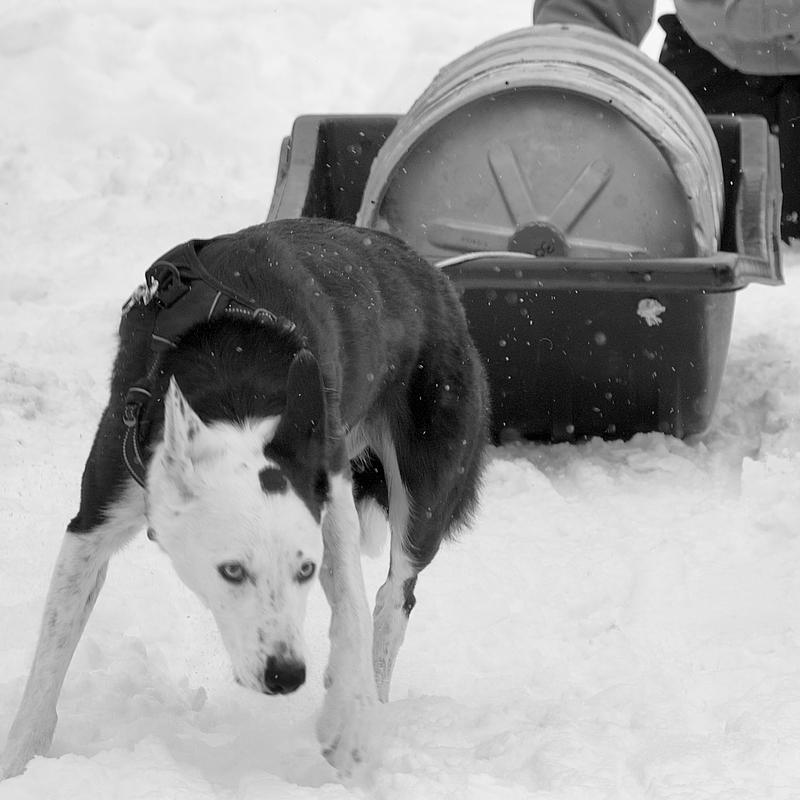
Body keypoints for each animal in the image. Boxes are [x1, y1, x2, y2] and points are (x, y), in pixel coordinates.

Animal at [0, 218, 489, 778]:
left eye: (304, 569)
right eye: (231, 571)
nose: (286, 674)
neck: (235, 390)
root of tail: (435, 275)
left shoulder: (327, 482)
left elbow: (351, 607)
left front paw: (349, 715)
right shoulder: (95, 518)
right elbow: (53, 647)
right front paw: (20, 761)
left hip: (426, 480)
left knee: (395, 595)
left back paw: (375, 694)